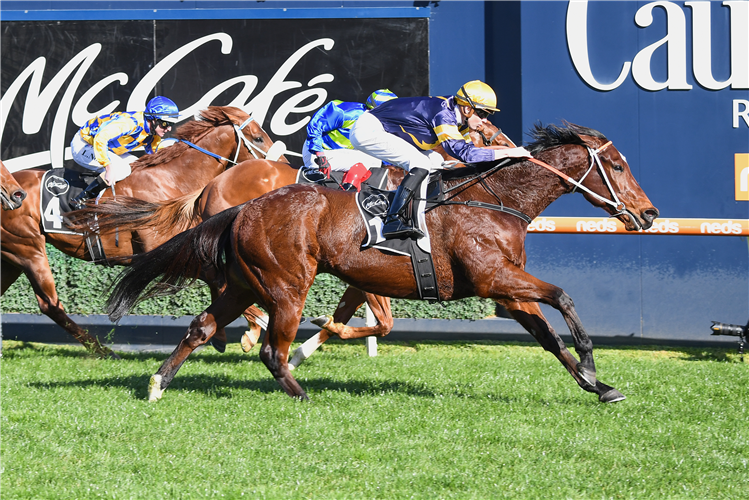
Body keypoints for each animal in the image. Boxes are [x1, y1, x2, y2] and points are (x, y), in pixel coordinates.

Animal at [1, 105, 276, 358]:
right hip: (28, 248)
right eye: (258, 138)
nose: (280, 164)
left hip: (12, 257)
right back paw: (102, 350)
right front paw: (254, 329)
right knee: (50, 304)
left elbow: (221, 281)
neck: (170, 182)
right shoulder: (162, 253)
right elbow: (223, 282)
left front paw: (226, 335)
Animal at [103, 123, 656, 404]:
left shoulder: (507, 288)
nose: (649, 214)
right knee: (272, 351)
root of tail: (245, 206)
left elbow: (550, 338)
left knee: (201, 326)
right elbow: (564, 298)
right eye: (619, 165)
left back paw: (158, 385)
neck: (493, 200)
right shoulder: (495, 278)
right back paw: (304, 395)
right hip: (286, 284)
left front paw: (599, 386)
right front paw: (592, 364)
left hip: (246, 282)